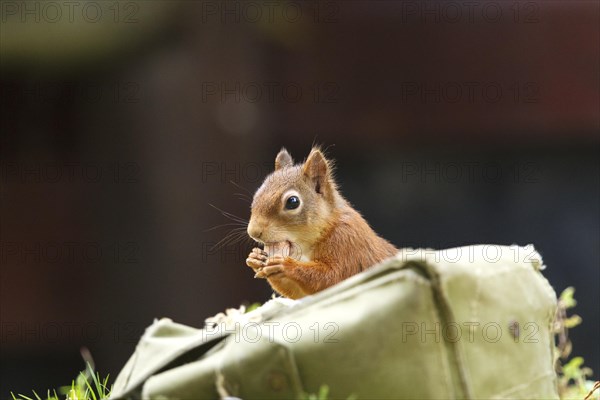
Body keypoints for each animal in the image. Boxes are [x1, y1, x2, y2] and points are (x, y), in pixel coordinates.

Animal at [246, 148, 396, 298]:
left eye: (293, 202)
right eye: (257, 195)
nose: (253, 232)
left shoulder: (347, 241)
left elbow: (334, 277)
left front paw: (285, 265)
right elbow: (298, 293)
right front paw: (255, 258)